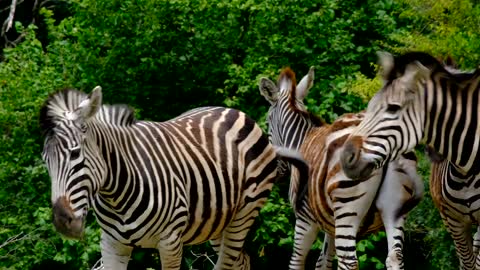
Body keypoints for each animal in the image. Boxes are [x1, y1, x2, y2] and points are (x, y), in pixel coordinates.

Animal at [39, 86, 308, 270]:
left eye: (75, 154)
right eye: (45, 160)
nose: (62, 222)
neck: (118, 192)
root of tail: (234, 111)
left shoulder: (169, 242)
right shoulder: (112, 243)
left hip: (245, 212)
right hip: (218, 223)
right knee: (240, 261)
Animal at [258, 67, 424, 270]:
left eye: (267, 123)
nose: (277, 170)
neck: (301, 140)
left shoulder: (305, 217)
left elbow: (296, 262)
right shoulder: (330, 223)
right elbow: (323, 262)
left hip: (347, 208)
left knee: (349, 261)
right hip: (395, 210)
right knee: (394, 257)